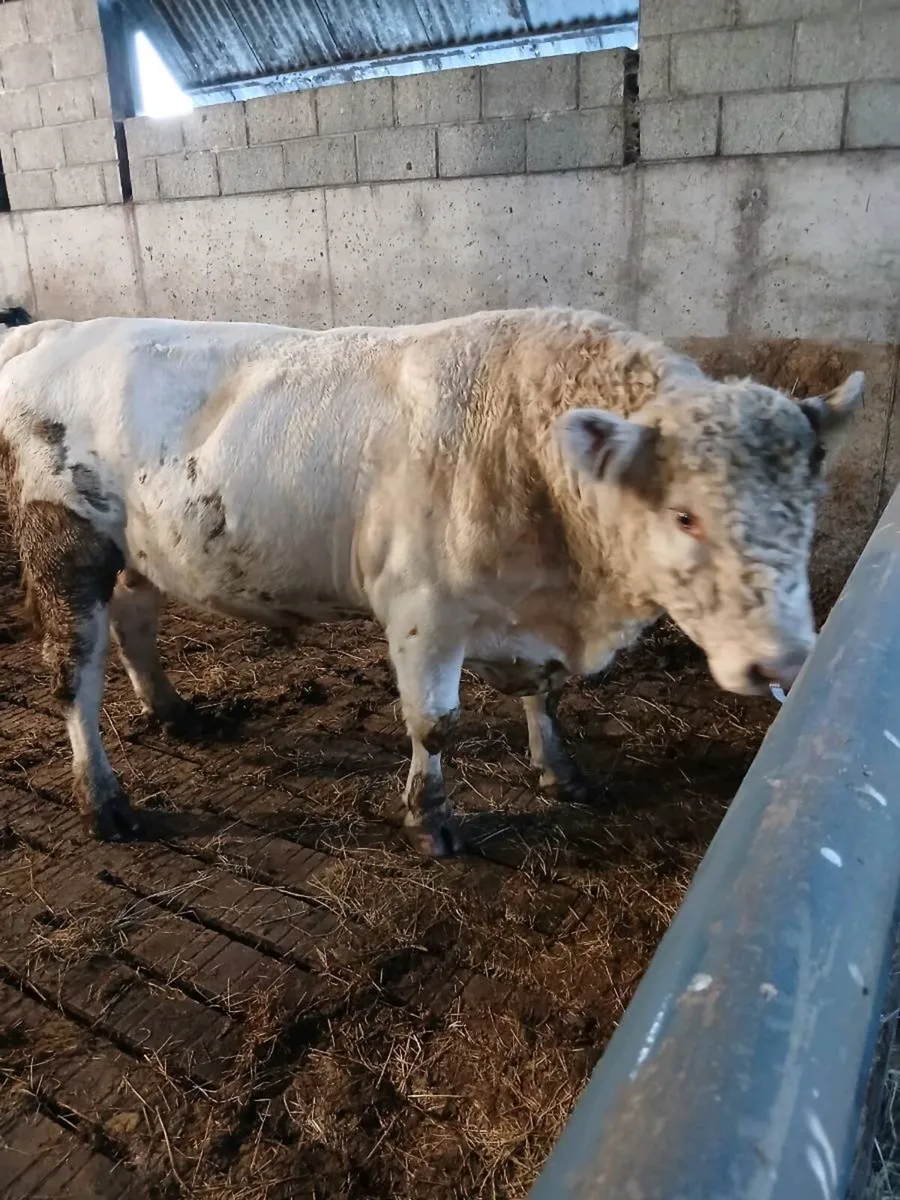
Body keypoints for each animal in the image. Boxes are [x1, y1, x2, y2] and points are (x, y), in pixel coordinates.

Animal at [0, 308, 861, 856]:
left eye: (808, 504)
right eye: (686, 517)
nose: (786, 662)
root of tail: (59, 331)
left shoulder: (529, 618)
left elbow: (544, 695)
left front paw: (560, 770)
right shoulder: (422, 611)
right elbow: (434, 723)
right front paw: (430, 820)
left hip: (138, 549)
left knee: (136, 622)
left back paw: (174, 711)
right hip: (63, 545)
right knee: (73, 675)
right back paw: (104, 798)